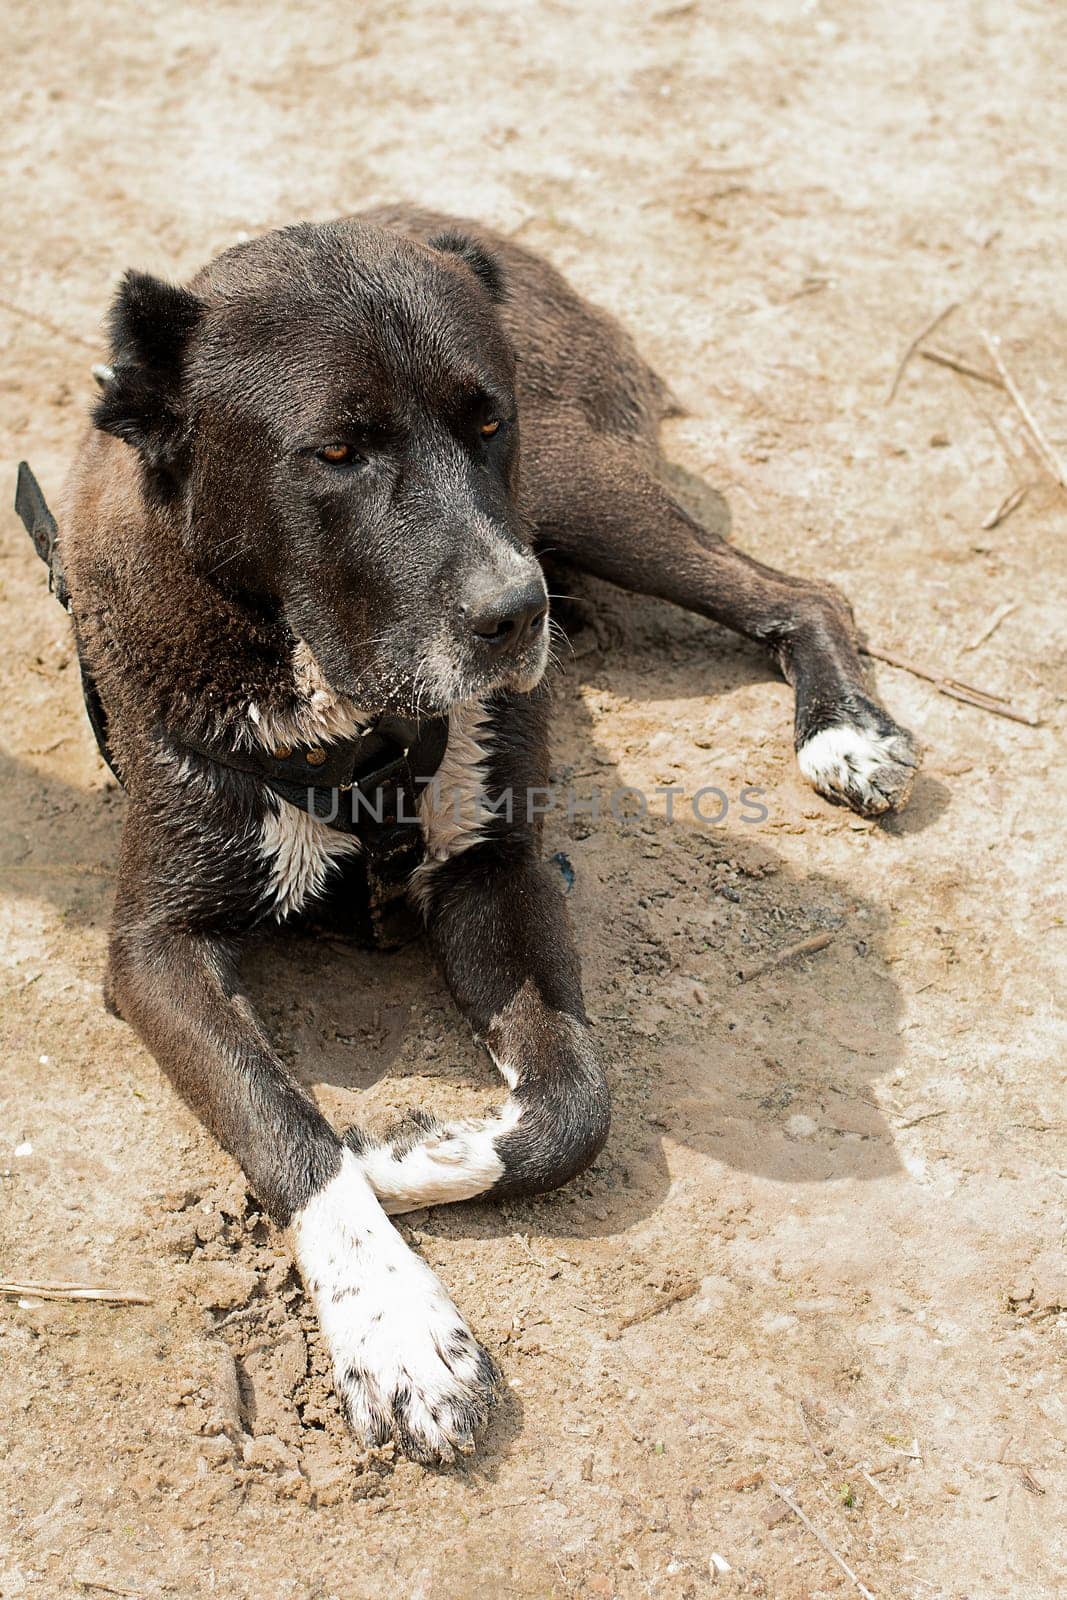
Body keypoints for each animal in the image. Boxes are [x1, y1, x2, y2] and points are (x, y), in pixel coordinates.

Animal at [29, 209, 921, 1465]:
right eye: (337, 452)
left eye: (485, 422)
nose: (516, 615)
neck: (347, 723)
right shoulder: (152, 945)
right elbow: (284, 1124)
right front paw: (396, 1324)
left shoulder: (496, 868)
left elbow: (576, 1099)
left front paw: (410, 1159)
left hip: (580, 492)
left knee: (798, 590)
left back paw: (843, 728)